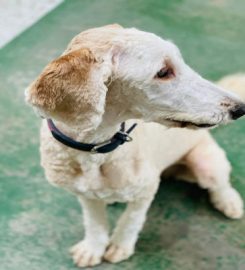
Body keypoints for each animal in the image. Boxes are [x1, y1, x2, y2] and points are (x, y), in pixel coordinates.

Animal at [25, 23, 244, 268]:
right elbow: (95, 223)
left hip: (207, 164)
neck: (96, 151)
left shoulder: (146, 190)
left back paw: (229, 202)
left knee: (221, 184)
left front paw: (120, 246)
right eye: (163, 72)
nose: (240, 108)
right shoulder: (85, 194)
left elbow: (131, 220)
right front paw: (93, 248)